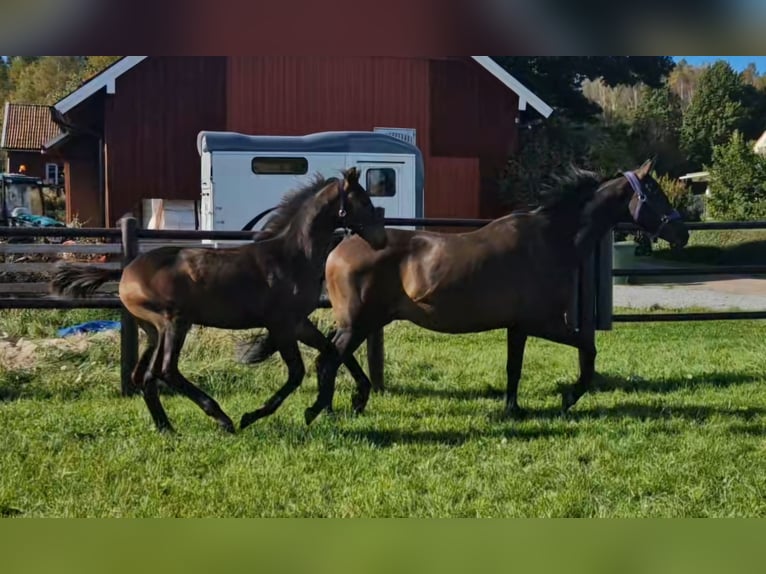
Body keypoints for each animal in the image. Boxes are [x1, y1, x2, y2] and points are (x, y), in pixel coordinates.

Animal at [48, 169, 384, 434]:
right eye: (363, 201)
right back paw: (222, 418)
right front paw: (253, 416)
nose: (380, 238)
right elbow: (298, 372)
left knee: (144, 376)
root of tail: (126, 270)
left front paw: (351, 399)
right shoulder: (281, 324)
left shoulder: (299, 322)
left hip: (153, 331)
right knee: (165, 371)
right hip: (174, 322)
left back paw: (166, 426)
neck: (292, 257)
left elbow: (333, 351)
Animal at [304, 160, 692, 426]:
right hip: (359, 322)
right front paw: (569, 396)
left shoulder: (518, 327)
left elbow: (514, 368)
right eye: (654, 193)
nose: (683, 233)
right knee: (328, 360)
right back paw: (322, 411)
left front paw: (513, 408)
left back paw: (351, 401)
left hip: (363, 322)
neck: (552, 240)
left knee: (332, 354)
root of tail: (340, 247)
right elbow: (587, 347)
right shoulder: (543, 322)